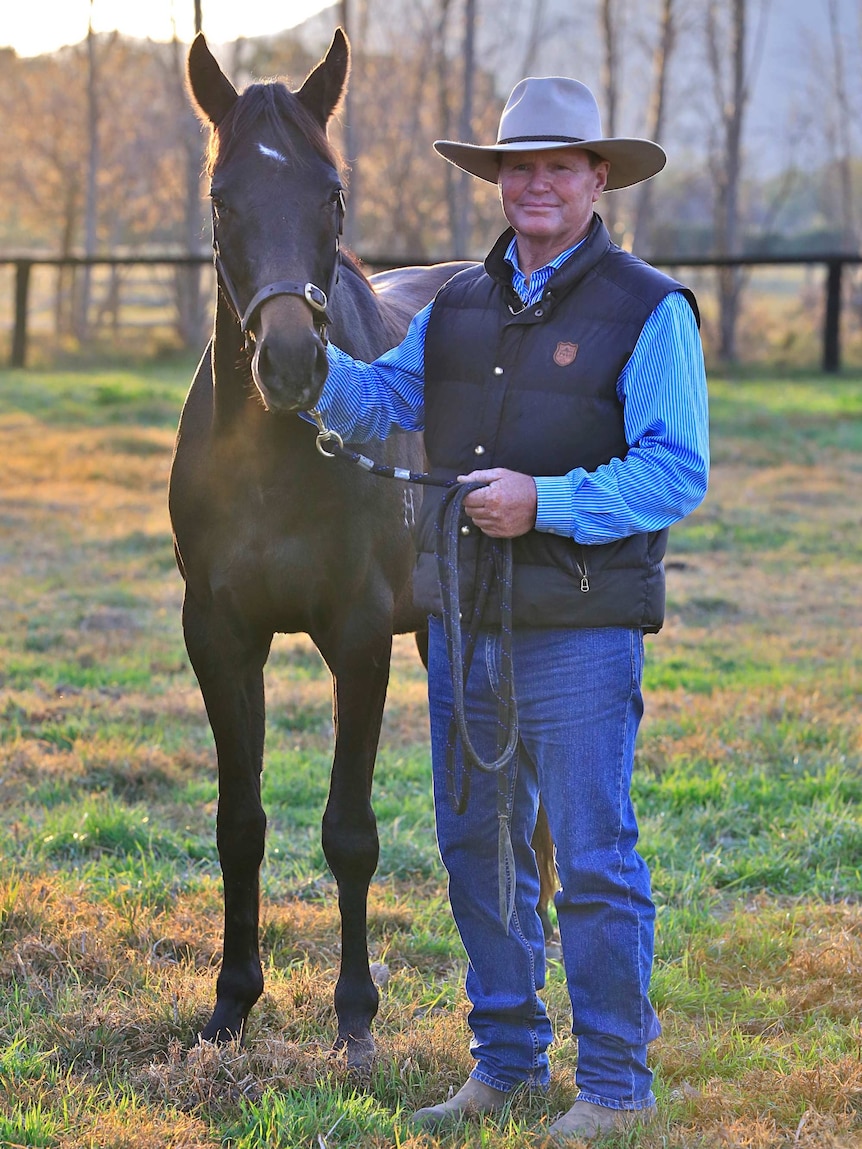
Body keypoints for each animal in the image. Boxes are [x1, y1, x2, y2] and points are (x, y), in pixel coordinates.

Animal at [170, 27, 560, 1066]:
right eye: (221, 199)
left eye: (333, 194)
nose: (291, 365)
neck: (272, 457)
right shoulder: (219, 637)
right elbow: (240, 821)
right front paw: (231, 1005)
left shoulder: (356, 637)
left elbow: (349, 830)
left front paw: (355, 1019)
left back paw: (545, 930)